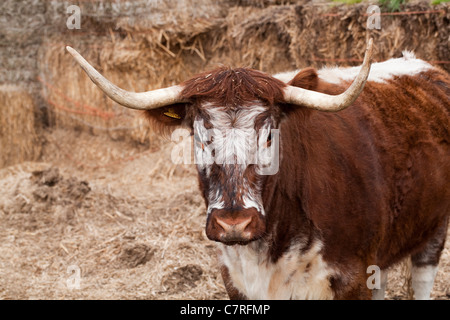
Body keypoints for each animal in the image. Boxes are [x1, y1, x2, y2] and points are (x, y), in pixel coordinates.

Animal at [65, 40, 448, 300]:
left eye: (268, 135)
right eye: (200, 136)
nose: (234, 223)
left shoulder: (352, 278)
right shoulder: (235, 279)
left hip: (434, 231)